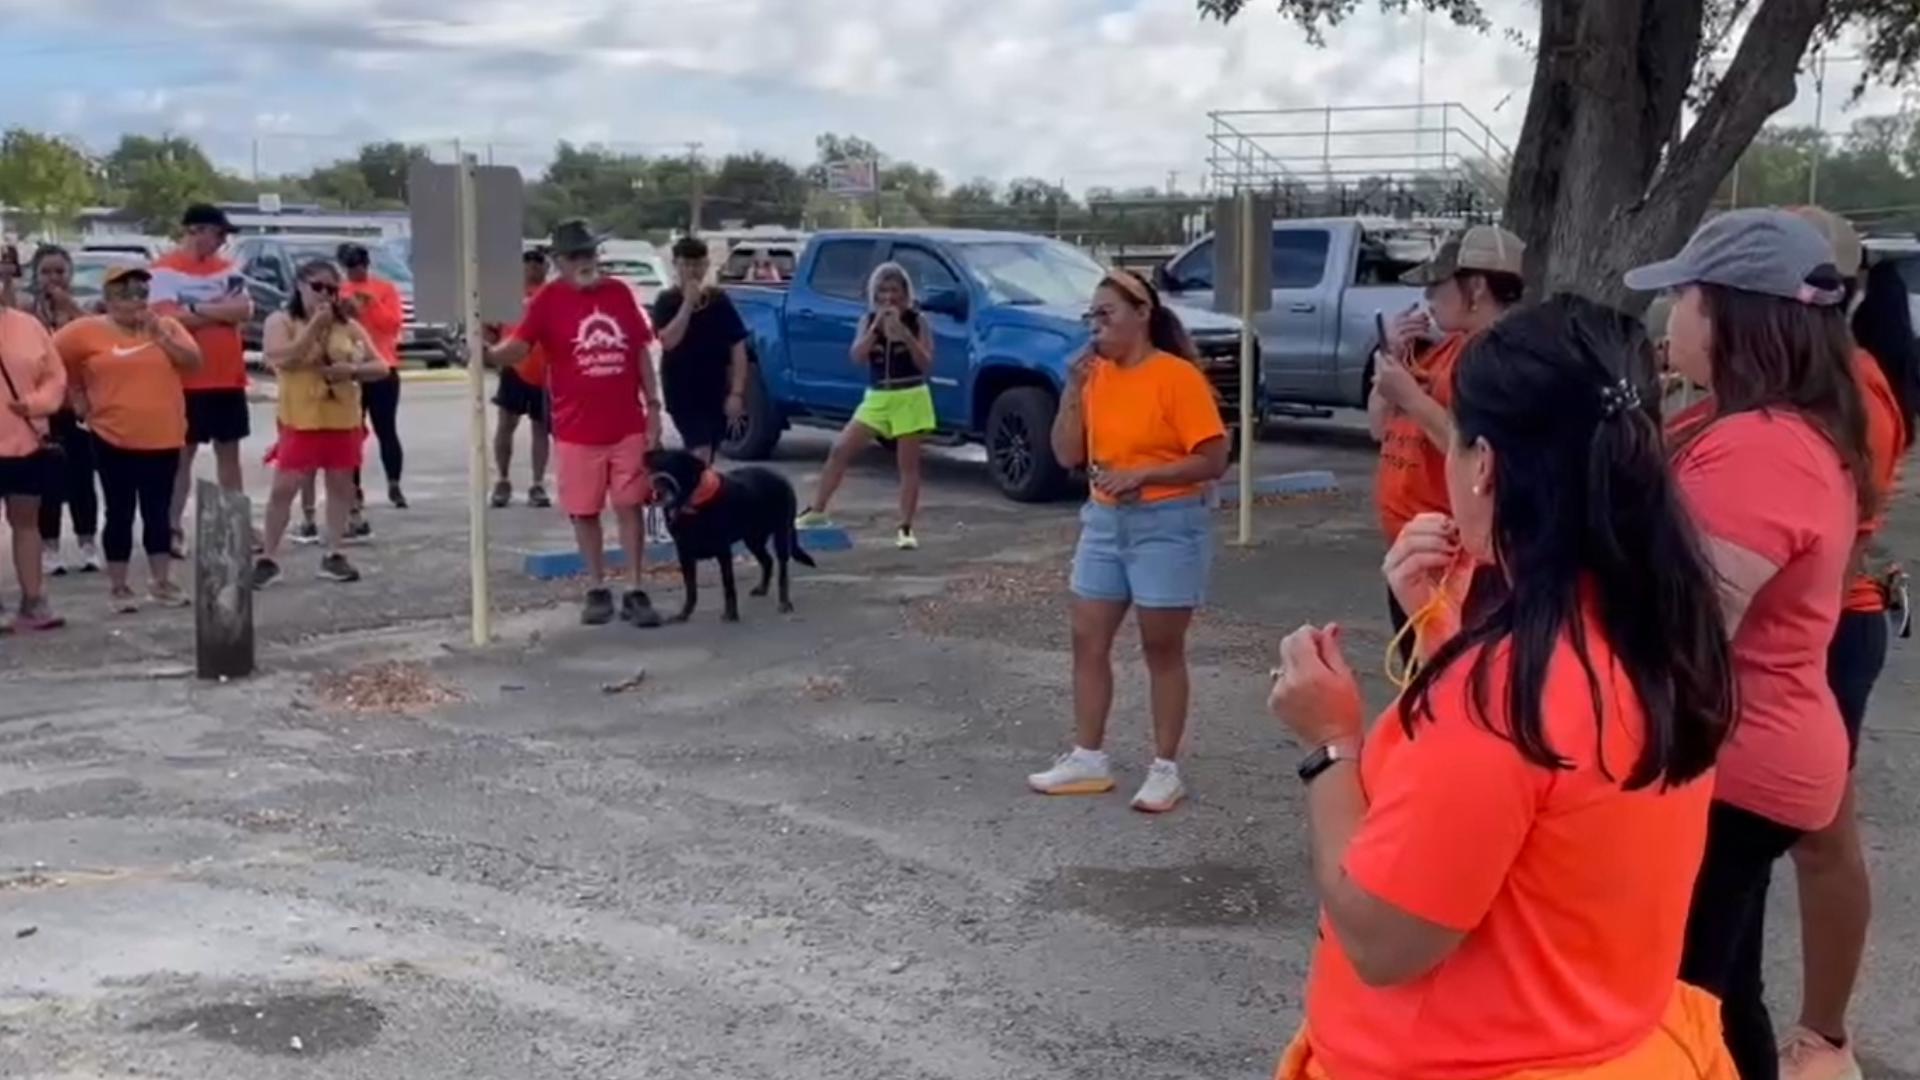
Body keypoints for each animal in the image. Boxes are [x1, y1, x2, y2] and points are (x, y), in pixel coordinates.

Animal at [648, 445, 814, 618]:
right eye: (657, 467)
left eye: (675, 466)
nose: (658, 494)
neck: (691, 505)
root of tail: (783, 479)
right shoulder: (684, 554)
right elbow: (691, 588)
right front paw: (685, 613)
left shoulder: (723, 551)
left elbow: (728, 585)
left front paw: (731, 614)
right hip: (753, 539)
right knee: (767, 561)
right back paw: (762, 588)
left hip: (780, 535)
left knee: (782, 571)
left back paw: (784, 602)